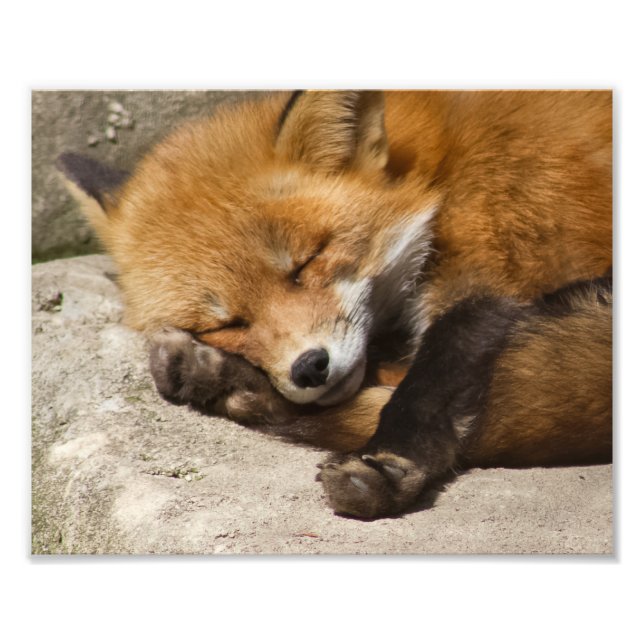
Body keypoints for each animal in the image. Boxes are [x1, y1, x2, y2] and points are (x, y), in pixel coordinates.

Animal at [58, 90, 612, 518]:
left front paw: (389, 463)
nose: (309, 368)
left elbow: (433, 377)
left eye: (306, 263)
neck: (439, 173)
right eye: (227, 323)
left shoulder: (493, 268)